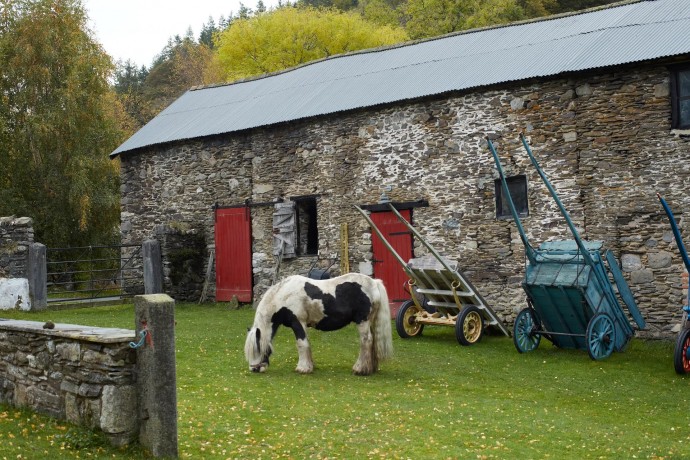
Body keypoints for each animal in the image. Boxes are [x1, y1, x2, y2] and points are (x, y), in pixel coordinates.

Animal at [245, 274, 390, 374]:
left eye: (257, 349)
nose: (254, 369)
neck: (284, 296)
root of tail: (374, 282)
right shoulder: (303, 325)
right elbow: (307, 344)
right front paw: (310, 366)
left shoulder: (297, 323)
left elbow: (301, 344)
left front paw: (302, 368)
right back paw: (371, 368)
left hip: (362, 321)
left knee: (366, 341)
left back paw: (360, 369)